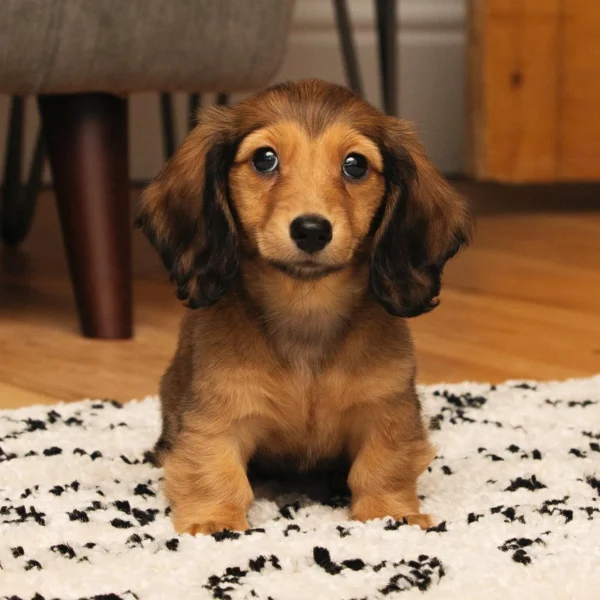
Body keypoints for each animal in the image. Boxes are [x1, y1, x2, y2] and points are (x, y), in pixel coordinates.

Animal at [137, 79, 474, 536]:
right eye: (264, 159)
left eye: (355, 165)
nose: (312, 230)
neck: (305, 316)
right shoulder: (218, 414)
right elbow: (214, 470)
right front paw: (214, 522)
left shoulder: (386, 410)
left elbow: (382, 465)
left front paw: (389, 514)